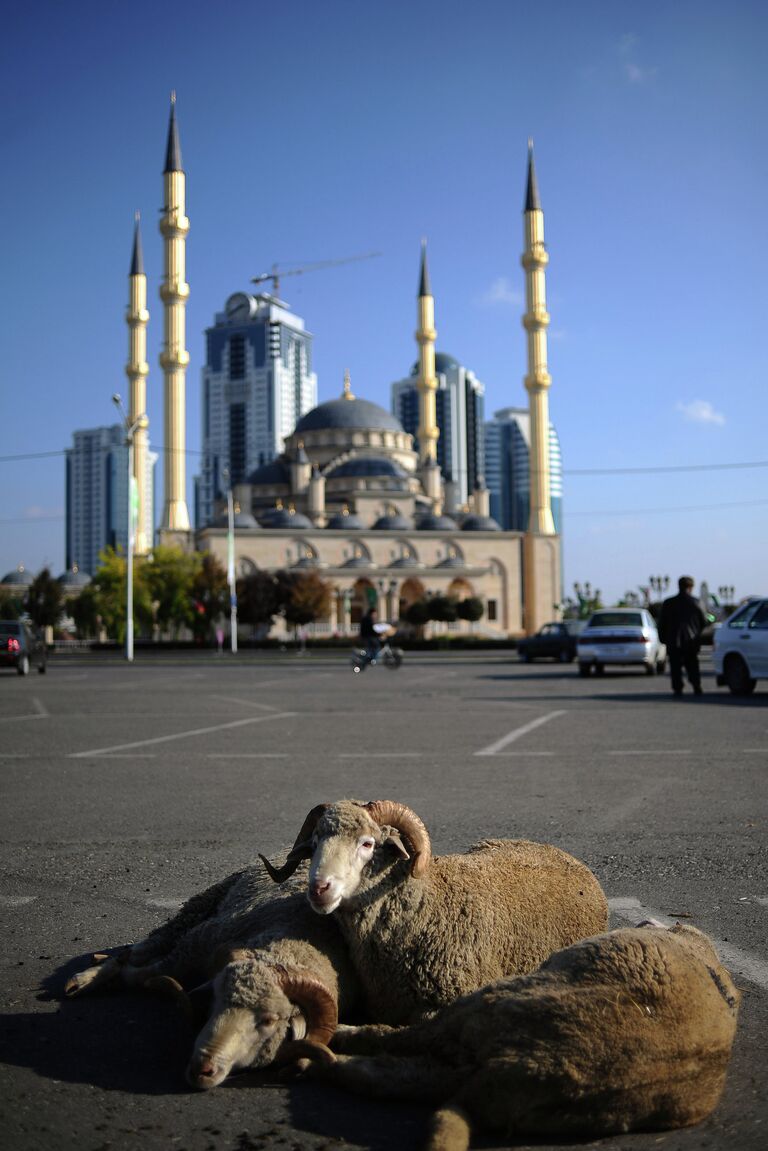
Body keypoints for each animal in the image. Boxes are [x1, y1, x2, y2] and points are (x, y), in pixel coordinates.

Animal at [64, 860, 359, 1091]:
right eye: (215, 1001)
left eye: (269, 1021)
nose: (202, 1068)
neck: (288, 941)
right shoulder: (197, 944)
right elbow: (144, 974)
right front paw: (105, 976)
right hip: (202, 906)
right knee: (149, 945)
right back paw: (89, 975)